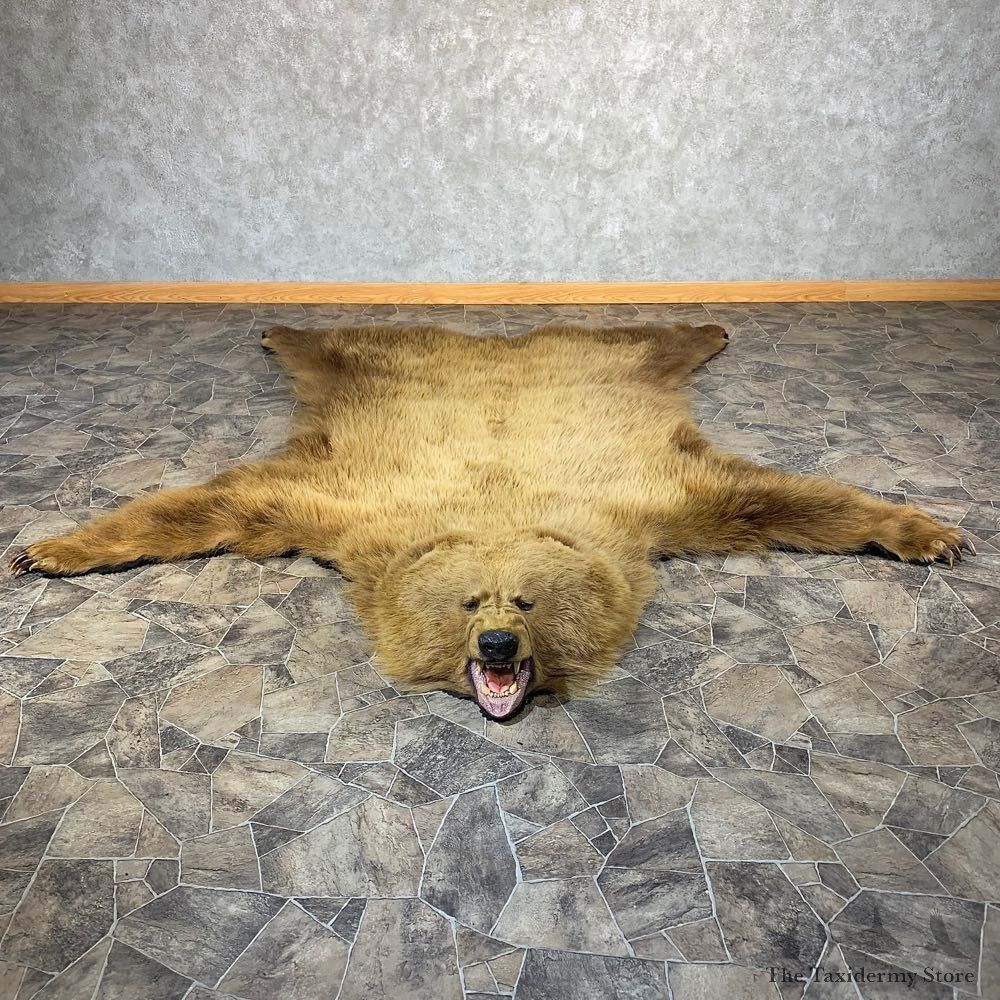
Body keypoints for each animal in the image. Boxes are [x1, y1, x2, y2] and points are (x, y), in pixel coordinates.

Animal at [9, 322, 974, 719]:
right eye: (471, 603)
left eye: (529, 602)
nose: (499, 646)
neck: (497, 506)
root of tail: (492, 339)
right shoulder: (342, 500)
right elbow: (211, 502)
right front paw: (50, 548)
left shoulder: (651, 496)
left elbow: (786, 497)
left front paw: (929, 531)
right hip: (369, 365)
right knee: (326, 341)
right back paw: (277, 325)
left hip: (611, 362)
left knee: (649, 336)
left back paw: (710, 324)